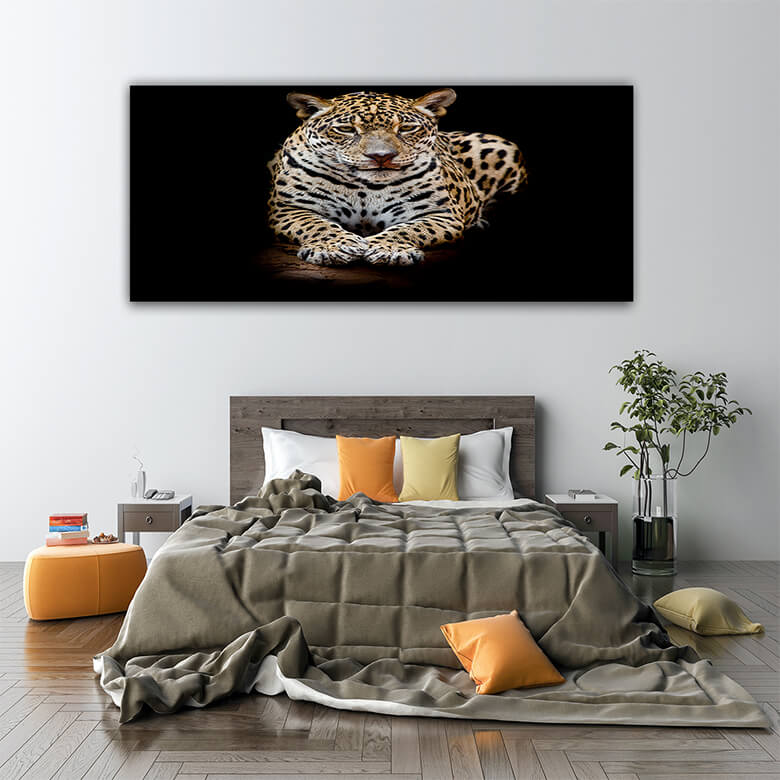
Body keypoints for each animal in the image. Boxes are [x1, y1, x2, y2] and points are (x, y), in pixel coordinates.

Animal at [267, 89, 528, 266]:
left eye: (406, 128)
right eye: (347, 130)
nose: (381, 156)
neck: (365, 187)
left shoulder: (440, 213)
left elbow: (413, 228)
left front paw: (389, 248)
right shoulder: (287, 208)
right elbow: (315, 224)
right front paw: (333, 246)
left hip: (501, 146)